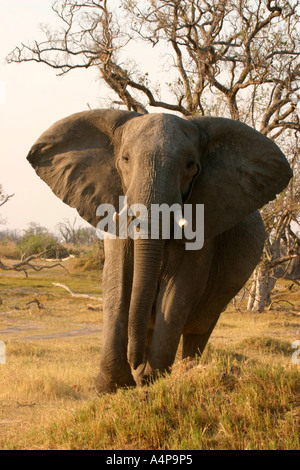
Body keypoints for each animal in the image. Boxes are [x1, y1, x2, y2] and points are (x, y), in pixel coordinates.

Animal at [26, 108, 292, 392]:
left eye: (190, 164)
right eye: (125, 159)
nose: (134, 363)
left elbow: (177, 291)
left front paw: (149, 379)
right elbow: (117, 283)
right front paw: (112, 385)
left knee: (198, 331)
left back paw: (186, 370)